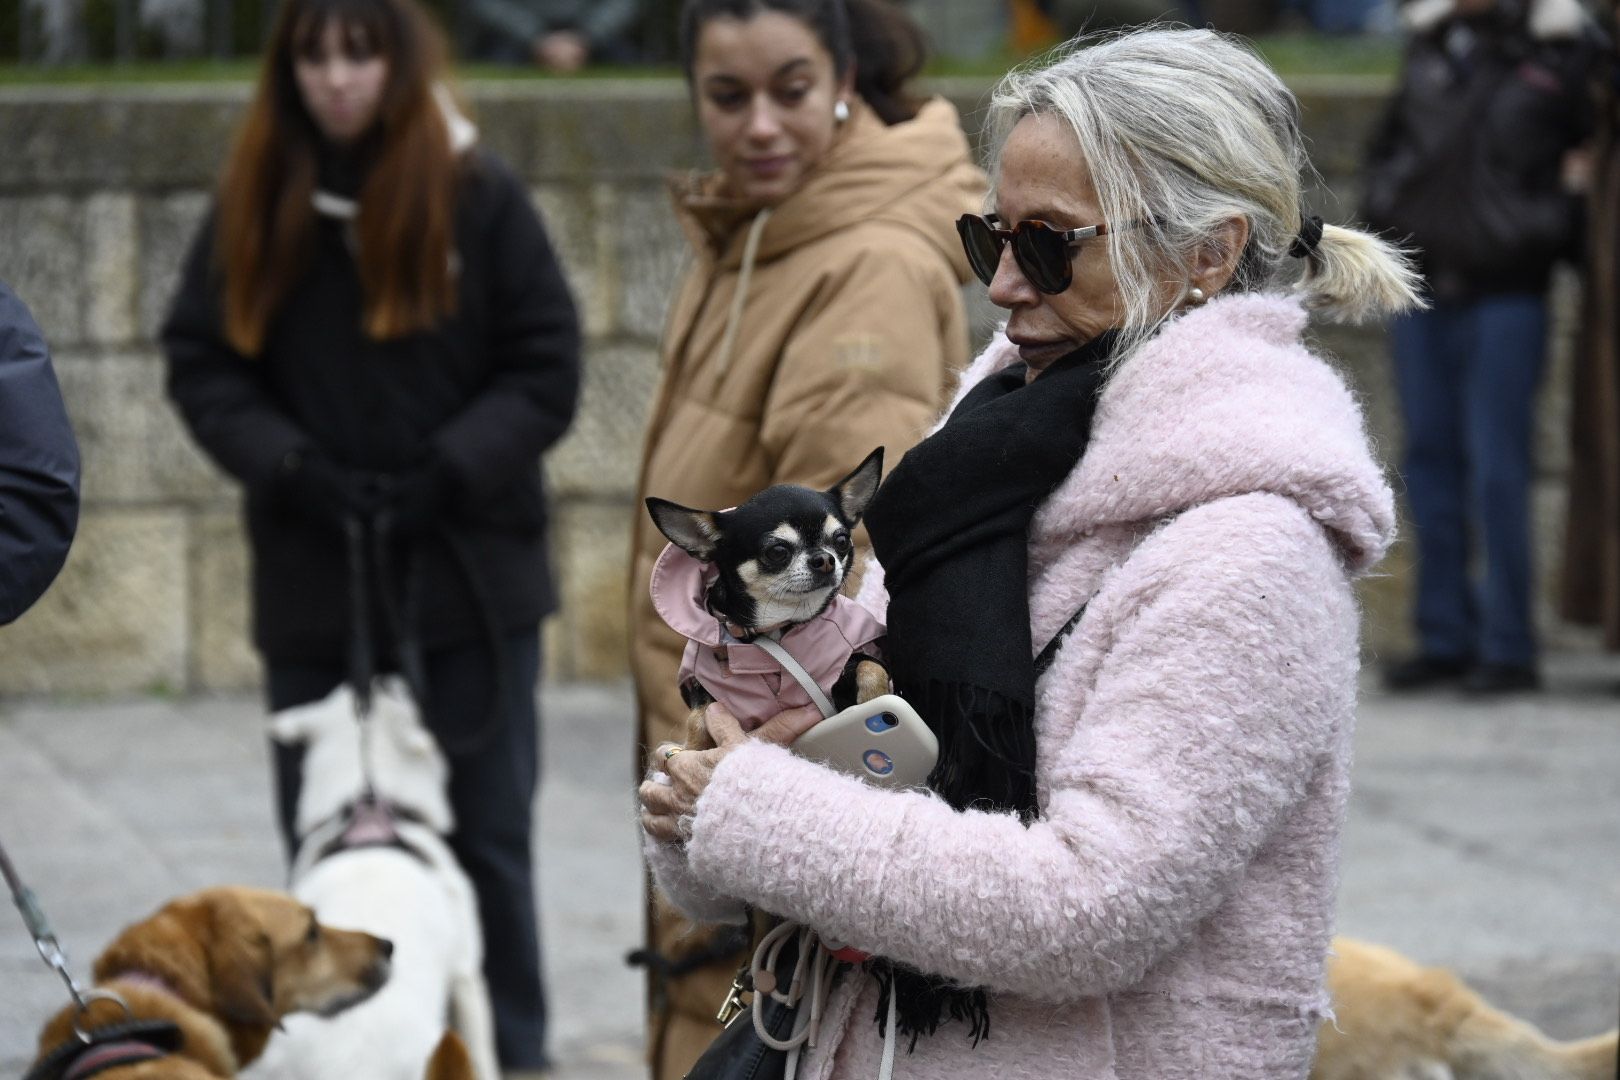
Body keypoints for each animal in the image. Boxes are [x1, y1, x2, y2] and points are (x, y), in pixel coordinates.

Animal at [243, 680, 498, 1080]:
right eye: (397, 696)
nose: (383, 679)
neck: (370, 814)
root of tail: (344, 1061)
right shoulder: (467, 975)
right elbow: (486, 1054)